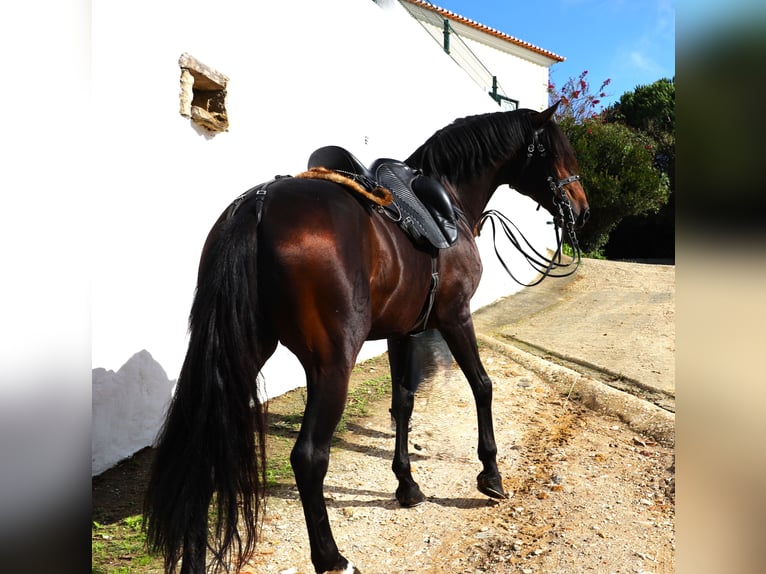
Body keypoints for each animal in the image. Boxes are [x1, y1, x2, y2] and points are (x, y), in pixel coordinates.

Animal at [142, 103, 588, 574]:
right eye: (557, 150)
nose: (581, 209)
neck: (449, 201)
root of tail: (259, 204)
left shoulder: (402, 332)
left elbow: (403, 403)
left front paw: (407, 485)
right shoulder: (455, 317)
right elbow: (482, 386)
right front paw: (491, 476)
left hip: (243, 355)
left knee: (204, 453)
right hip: (332, 363)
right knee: (309, 457)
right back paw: (331, 557)